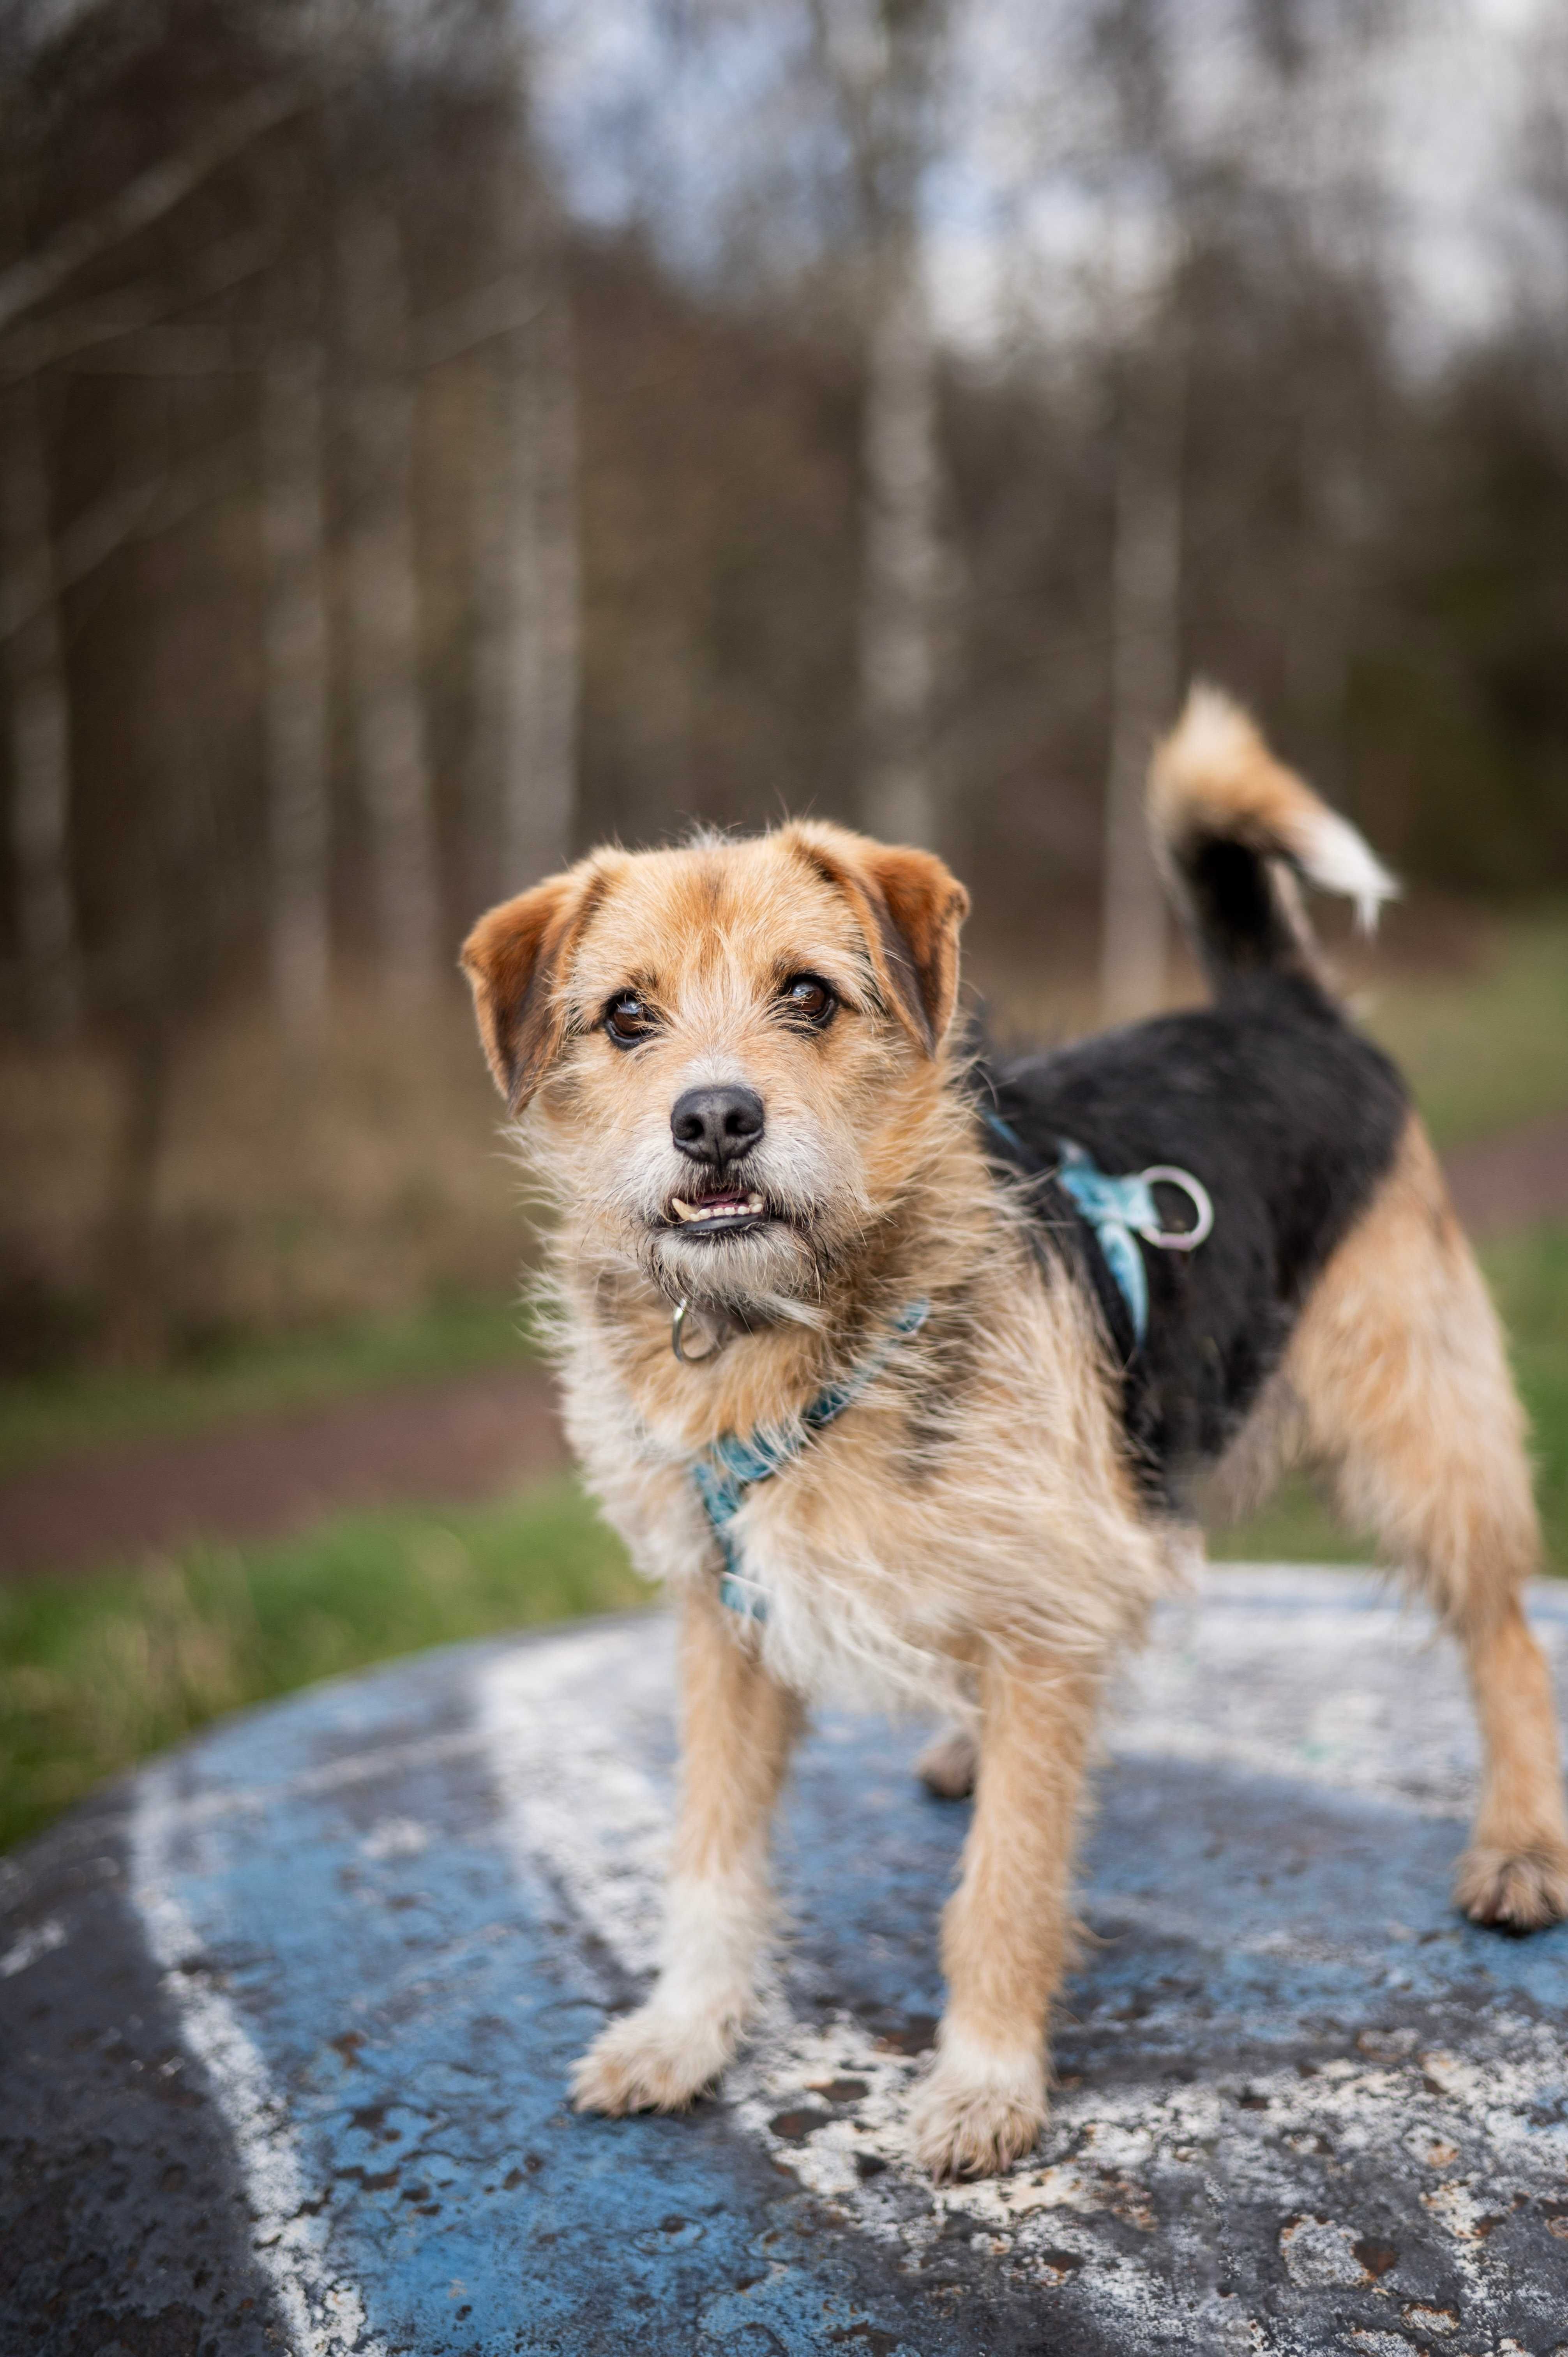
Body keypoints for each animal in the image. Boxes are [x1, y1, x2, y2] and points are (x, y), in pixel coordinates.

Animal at [459, 688, 1565, 2187]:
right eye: (625, 1015)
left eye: (808, 993)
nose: (715, 1119)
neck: (795, 1329)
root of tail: (1278, 1007)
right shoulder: (724, 1614)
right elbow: (708, 1853)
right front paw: (683, 2030)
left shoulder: (1047, 1618)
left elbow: (1005, 1880)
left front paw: (984, 2079)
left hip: (1421, 1431)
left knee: (1503, 1635)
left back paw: (1519, 1846)